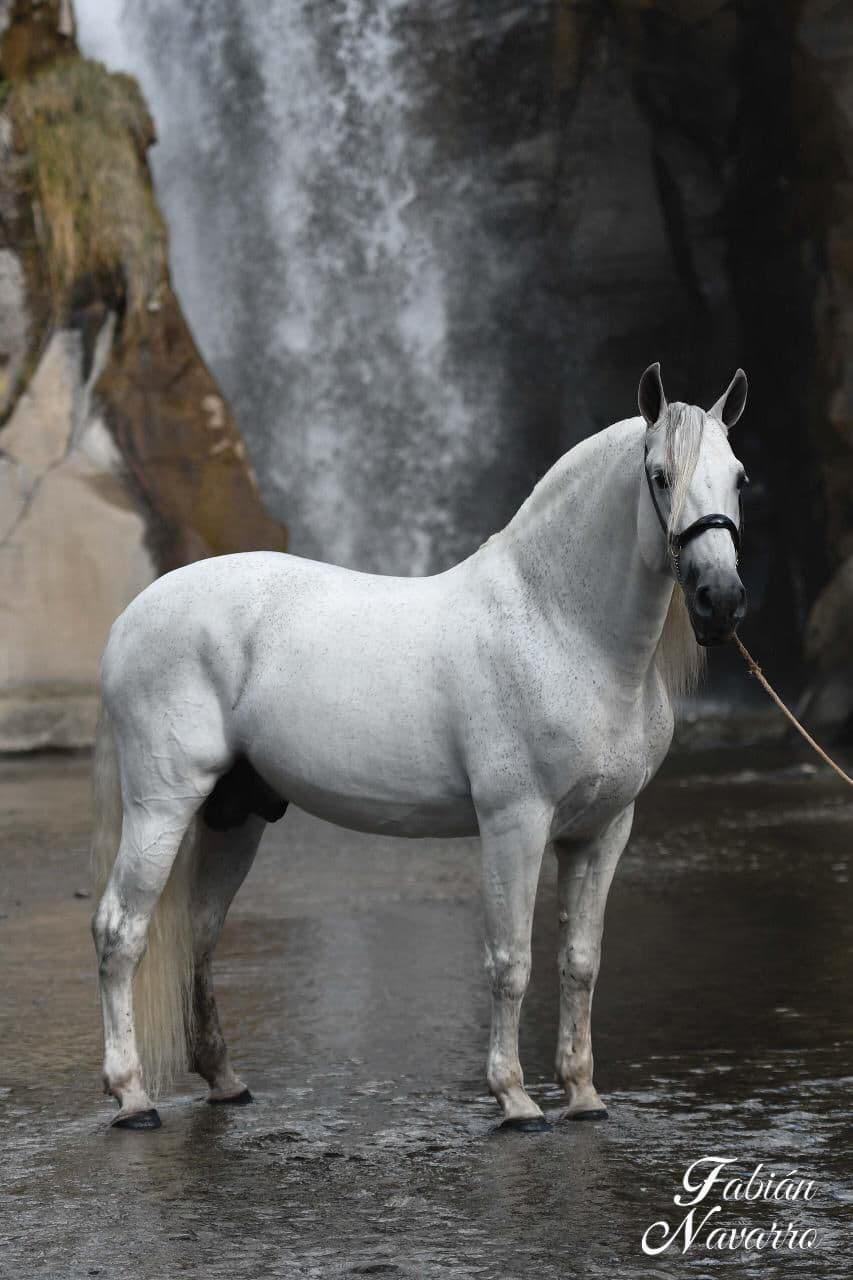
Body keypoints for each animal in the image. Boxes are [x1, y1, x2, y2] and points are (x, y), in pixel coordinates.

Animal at [92, 363, 749, 1131]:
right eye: (659, 476)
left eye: (738, 476)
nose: (719, 600)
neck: (560, 626)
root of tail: (132, 616)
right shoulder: (514, 824)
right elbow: (511, 961)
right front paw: (514, 1098)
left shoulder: (603, 830)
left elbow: (580, 961)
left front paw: (583, 1095)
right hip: (161, 806)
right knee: (121, 930)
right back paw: (132, 1096)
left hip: (236, 816)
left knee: (201, 931)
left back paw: (224, 1080)